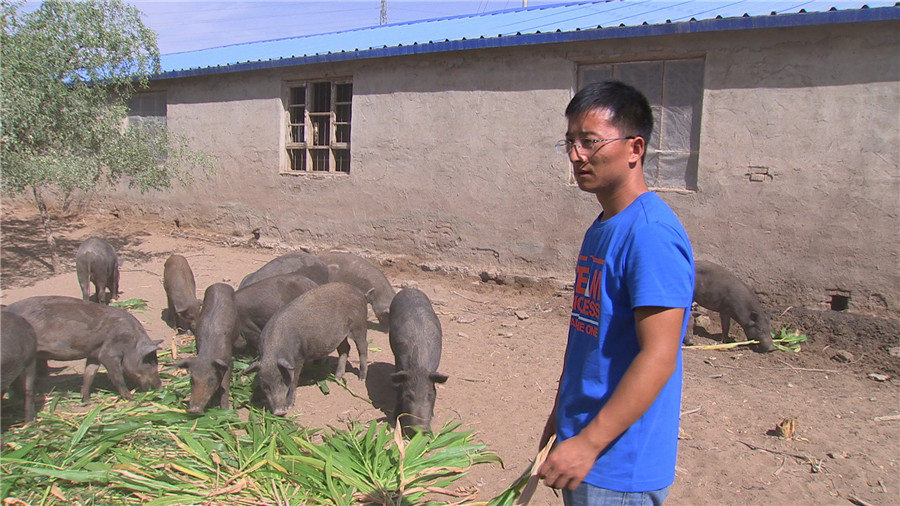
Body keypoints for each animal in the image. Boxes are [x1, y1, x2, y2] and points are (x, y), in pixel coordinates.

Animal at [6, 294, 163, 402]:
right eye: (149, 362)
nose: (160, 386)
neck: (132, 342)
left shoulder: (94, 353)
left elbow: (89, 374)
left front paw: (87, 400)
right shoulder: (108, 353)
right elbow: (117, 376)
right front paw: (130, 397)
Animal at [176, 282, 237, 414]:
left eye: (211, 380)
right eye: (192, 380)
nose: (194, 410)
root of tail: (220, 284)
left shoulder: (228, 362)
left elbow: (225, 386)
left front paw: (226, 410)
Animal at [248, 282, 368, 418]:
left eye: (282, 380)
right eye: (265, 385)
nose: (279, 411)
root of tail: (359, 292)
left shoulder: (299, 357)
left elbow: (294, 381)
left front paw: (290, 406)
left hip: (359, 326)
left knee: (363, 348)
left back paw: (361, 378)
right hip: (341, 336)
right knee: (345, 349)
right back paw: (337, 378)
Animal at [388, 288, 448, 434]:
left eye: (430, 394)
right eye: (408, 396)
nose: (420, 429)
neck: (418, 368)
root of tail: (409, 289)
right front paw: (393, 421)